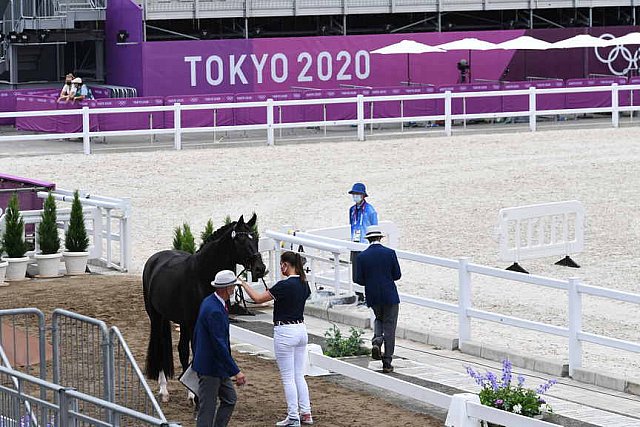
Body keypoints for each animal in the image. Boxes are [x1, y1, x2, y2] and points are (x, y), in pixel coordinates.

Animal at [144, 216, 266, 402]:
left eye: (256, 239)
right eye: (241, 240)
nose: (260, 268)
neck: (203, 276)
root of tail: (155, 259)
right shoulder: (193, 322)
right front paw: (195, 394)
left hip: (175, 320)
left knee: (178, 349)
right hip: (157, 317)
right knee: (162, 347)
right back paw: (164, 390)